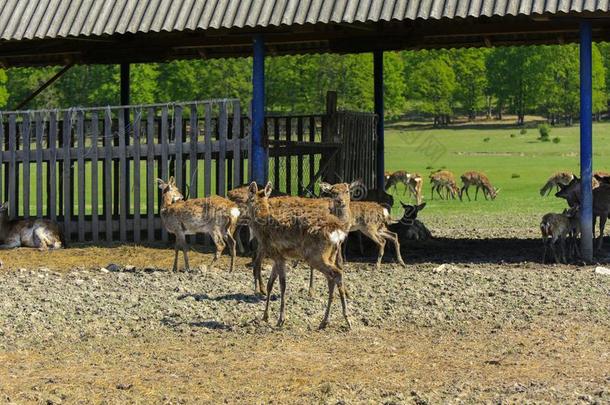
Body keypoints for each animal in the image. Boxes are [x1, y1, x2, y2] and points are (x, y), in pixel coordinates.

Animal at [246, 181, 350, 328]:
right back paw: (325, 321)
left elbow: (282, 285)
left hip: (316, 255)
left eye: (249, 199)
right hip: (331, 254)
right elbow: (270, 284)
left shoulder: (277, 255)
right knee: (332, 278)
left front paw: (281, 319)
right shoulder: (279, 257)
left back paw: (345, 318)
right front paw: (265, 316)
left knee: (336, 273)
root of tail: (337, 231)